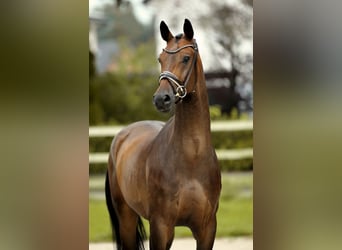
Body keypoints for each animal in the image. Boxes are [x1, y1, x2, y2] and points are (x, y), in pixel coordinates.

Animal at [105, 18, 220, 249]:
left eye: (186, 58)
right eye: (161, 58)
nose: (161, 99)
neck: (192, 156)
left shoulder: (207, 229)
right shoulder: (161, 226)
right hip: (126, 218)